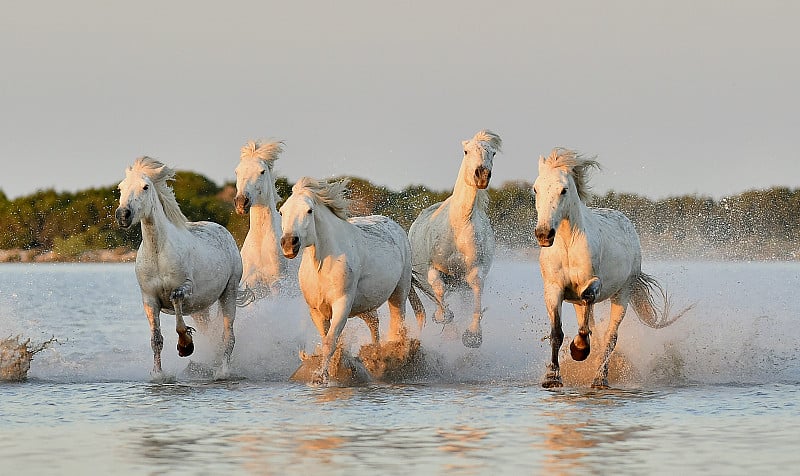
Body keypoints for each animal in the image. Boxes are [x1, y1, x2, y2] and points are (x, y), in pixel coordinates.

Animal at [114, 158, 242, 382]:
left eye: (145, 187)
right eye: (120, 187)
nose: (123, 215)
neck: (158, 253)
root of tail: (224, 231)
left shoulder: (186, 288)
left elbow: (176, 305)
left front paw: (185, 346)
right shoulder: (149, 299)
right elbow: (156, 339)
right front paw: (158, 375)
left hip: (229, 292)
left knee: (228, 335)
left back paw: (222, 372)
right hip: (202, 308)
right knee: (212, 334)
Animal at [280, 177, 428, 384]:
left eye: (309, 210)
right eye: (281, 211)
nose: (288, 244)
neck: (322, 264)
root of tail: (397, 227)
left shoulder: (342, 304)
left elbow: (330, 342)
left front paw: (321, 377)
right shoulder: (316, 310)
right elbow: (328, 339)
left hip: (399, 293)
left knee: (396, 327)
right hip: (365, 306)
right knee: (375, 325)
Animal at [410, 128, 504, 348]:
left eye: (493, 153)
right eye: (466, 151)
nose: (482, 175)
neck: (458, 227)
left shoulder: (475, 271)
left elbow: (476, 293)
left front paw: (473, 335)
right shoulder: (433, 269)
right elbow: (439, 291)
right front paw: (444, 320)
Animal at [532, 148, 688, 386]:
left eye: (563, 190)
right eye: (536, 188)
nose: (544, 234)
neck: (568, 246)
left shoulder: (593, 285)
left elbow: (588, 301)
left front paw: (579, 350)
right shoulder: (553, 289)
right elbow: (556, 332)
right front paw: (552, 378)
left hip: (622, 294)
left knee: (610, 337)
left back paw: (600, 377)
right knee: (595, 331)